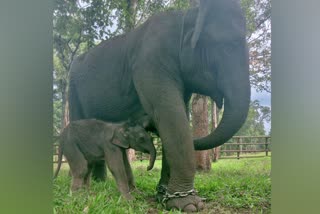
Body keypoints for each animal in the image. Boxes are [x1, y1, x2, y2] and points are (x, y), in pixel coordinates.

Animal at [69, 0, 251, 211]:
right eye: (228, 45)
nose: (144, 122)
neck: (185, 15)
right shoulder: (151, 61)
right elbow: (169, 114)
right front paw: (189, 205)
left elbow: (177, 114)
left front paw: (164, 197)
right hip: (72, 91)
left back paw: (101, 183)